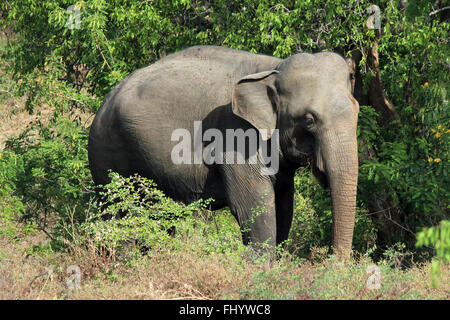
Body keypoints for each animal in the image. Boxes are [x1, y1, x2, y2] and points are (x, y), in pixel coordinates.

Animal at [89, 45, 360, 256]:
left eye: (357, 111)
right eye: (309, 120)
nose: (331, 262)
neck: (273, 67)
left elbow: (284, 205)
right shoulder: (236, 137)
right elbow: (254, 207)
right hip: (107, 155)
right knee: (120, 215)